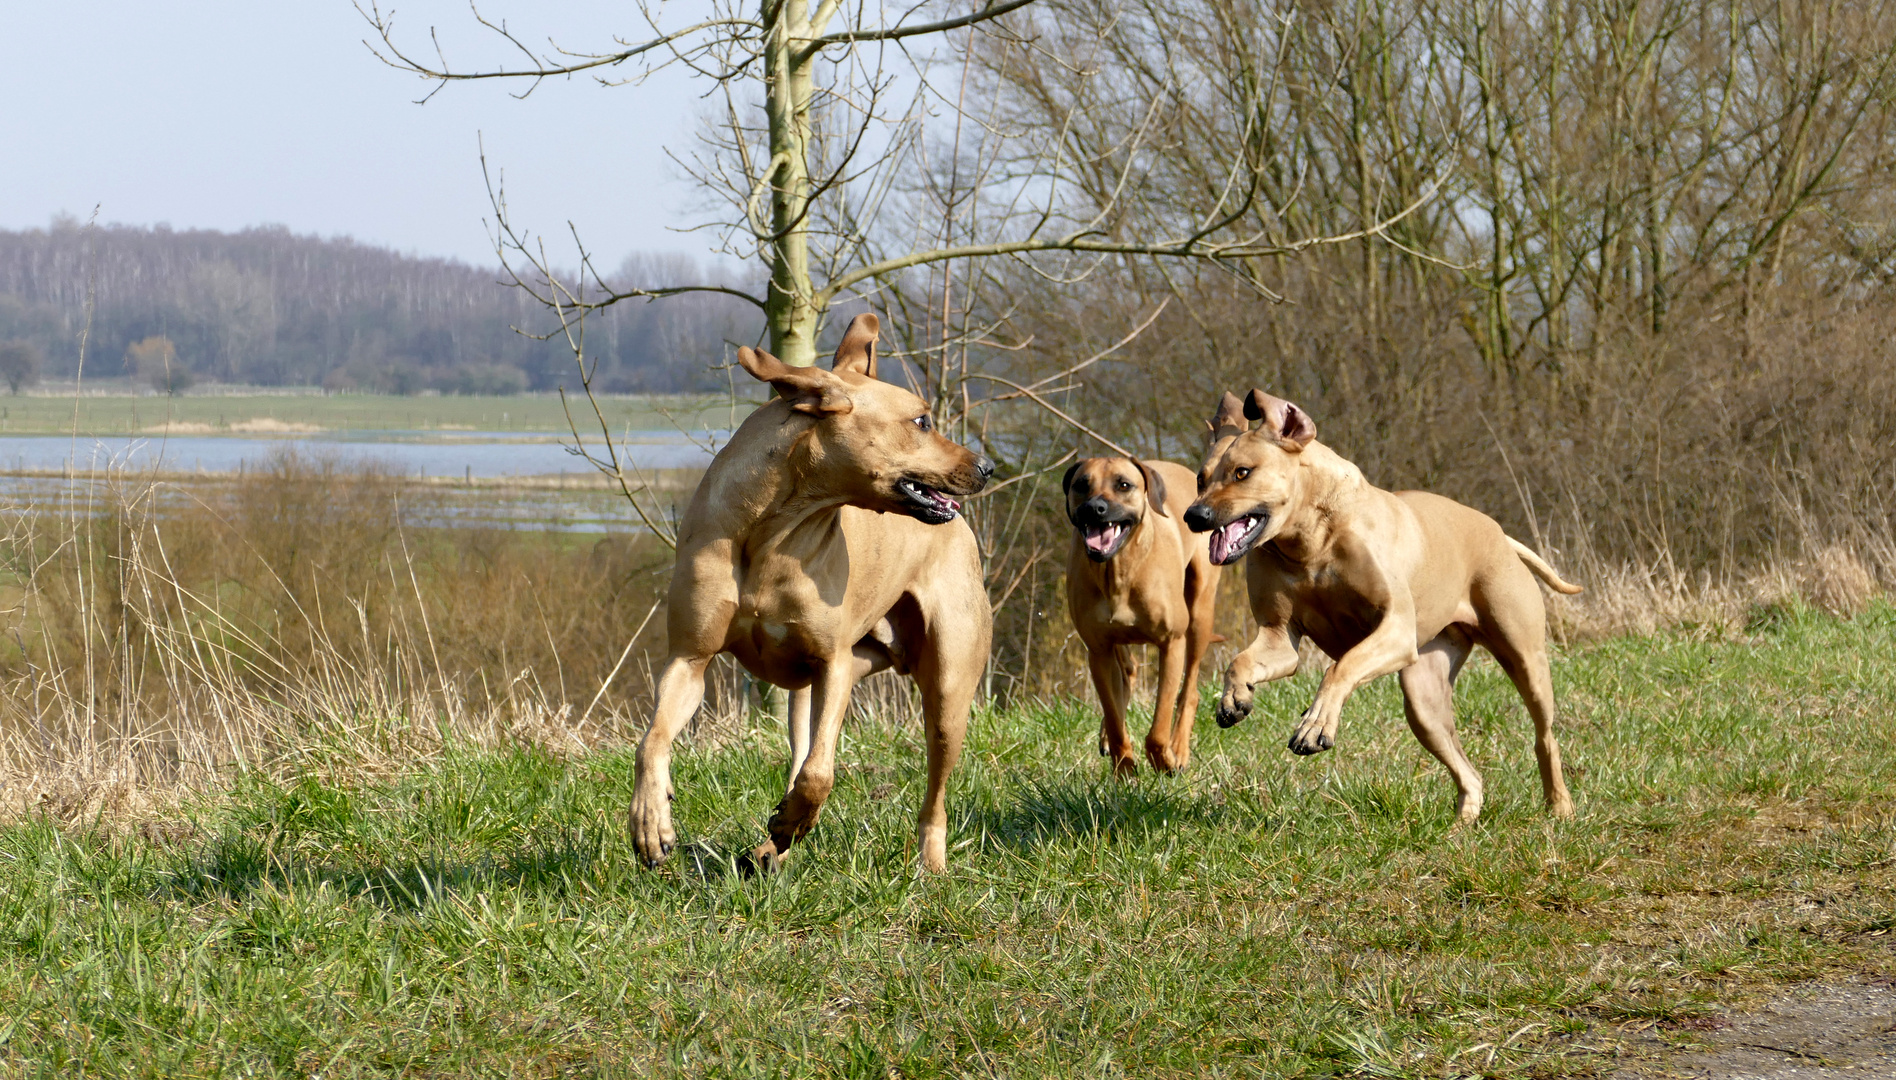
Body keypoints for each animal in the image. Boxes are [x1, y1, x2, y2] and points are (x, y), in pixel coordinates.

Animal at [629, 312, 1001, 875]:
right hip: (817, 687)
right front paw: (651, 822)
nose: (987, 467)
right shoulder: (689, 658)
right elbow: (652, 740)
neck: (775, 532)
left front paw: (793, 821)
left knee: (932, 790)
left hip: (949, 688)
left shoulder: (834, 664)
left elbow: (820, 772)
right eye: (921, 422)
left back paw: (927, 865)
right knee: (798, 747)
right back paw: (770, 849)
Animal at [1061, 454, 1221, 773]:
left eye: (1123, 485)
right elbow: (1114, 719)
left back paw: (1180, 748)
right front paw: (1124, 767)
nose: (1094, 508)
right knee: (1128, 672)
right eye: (1081, 485)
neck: (1119, 568)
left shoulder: (1172, 643)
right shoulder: (1098, 651)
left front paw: (1164, 761)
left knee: (1190, 691)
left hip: (1200, 613)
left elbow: (1160, 724)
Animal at [1183, 390, 1585, 818]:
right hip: (1424, 701)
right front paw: (1235, 696)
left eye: (1243, 472)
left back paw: (1559, 805)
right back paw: (1460, 826)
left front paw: (1315, 724)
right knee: (1469, 774)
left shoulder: (1395, 629)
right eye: (1200, 479)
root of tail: (1501, 535)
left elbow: (1340, 667)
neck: (1310, 538)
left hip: (1525, 658)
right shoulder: (1277, 637)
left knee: (1544, 735)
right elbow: (1240, 661)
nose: (1194, 515)